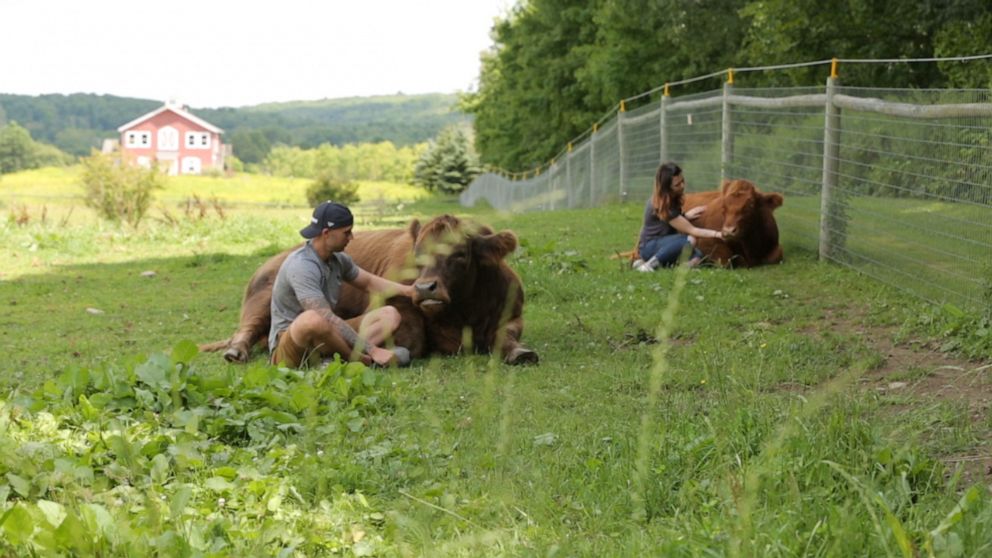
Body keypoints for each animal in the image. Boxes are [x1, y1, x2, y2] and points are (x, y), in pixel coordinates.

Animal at [202, 214, 540, 368]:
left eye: (460, 254)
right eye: (418, 254)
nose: (424, 288)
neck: (463, 315)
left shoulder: (514, 314)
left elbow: (506, 335)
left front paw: (520, 352)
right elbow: (410, 334)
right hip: (260, 301)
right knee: (245, 330)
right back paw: (235, 351)